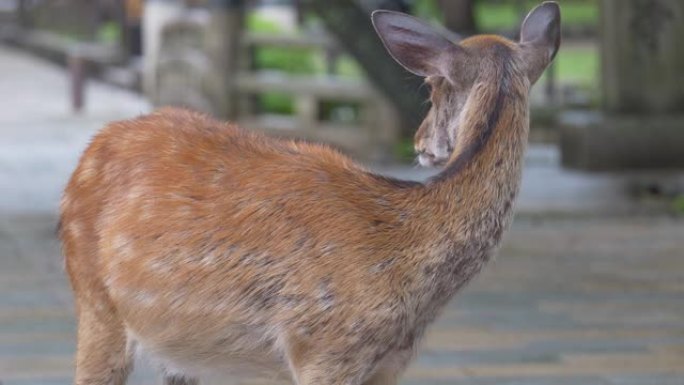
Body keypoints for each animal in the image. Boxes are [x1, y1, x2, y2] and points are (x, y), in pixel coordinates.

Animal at [58, 1, 560, 382]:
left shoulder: (388, 365)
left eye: (433, 88)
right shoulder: (320, 349)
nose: (419, 144)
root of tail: (91, 149)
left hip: (177, 348)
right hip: (95, 301)